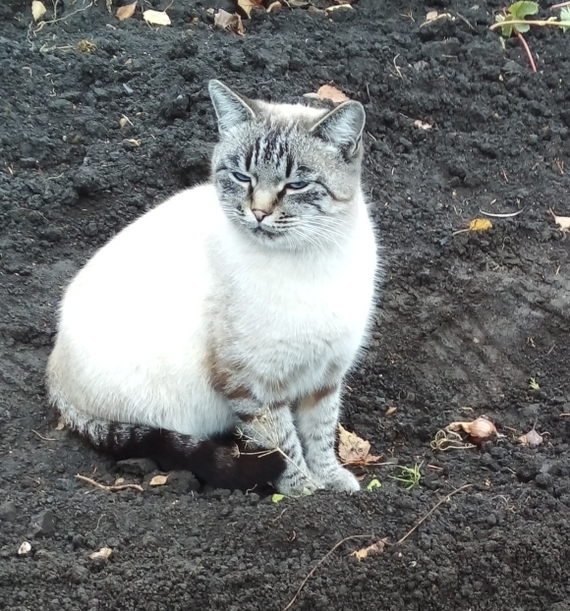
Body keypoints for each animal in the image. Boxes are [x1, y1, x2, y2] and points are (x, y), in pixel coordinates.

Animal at [46, 79, 380, 494]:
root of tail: (52, 368)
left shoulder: (326, 376)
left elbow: (320, 433)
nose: (259, 213)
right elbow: (283, 444)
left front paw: (333, 482)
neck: (310, 261)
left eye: (297, 185)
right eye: (242, 177)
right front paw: (304, 491)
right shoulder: (251, 384)